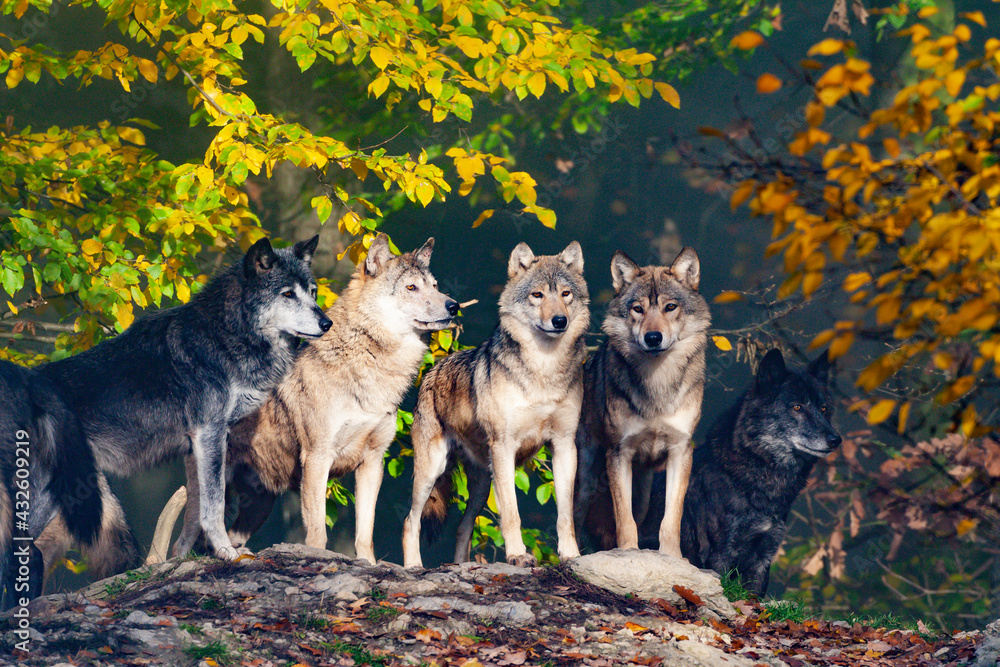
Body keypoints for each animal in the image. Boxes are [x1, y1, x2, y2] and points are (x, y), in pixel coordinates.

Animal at [38, 236, 330, 562]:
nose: (327, 322)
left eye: (312, 292)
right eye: (288, 294)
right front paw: (227, 553)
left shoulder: (195, 447)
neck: (224, 336)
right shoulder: (210, 434)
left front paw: (179, 557)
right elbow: (214, 504)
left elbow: (193, 513)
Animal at [169, 234, 457, 563]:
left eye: (434, 285)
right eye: (411, 287)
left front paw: (367, 564)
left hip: (259, 508)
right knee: (181, 545)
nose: (453, 306)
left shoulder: (372, 461)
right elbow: (318, 533)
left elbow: (365, 535)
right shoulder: (318, 458)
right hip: (205, 502)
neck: (367, 370)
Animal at [402, 241, 589, 568]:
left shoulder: (565, 444)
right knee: (410, 522)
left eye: (565, 294)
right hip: (432, 472)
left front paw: (571, 556)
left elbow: (565, 515)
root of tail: (433, 369)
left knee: (462, 526)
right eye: (537, 295)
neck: (544, 369)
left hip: (480, 487)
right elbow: (511, 513)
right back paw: (414, 566)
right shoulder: (504, 446)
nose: (559, 321)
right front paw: (517, 555)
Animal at [574, 248, 710, 558]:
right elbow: (624, 519)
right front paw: (627, 552)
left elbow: (671, 516)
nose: (653, 337)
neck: (656, 384)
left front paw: (672, 557)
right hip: (585, 478)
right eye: (638, 309)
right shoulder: (618, 452)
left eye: (670, 307)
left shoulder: (681, 450)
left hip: (644, 491)